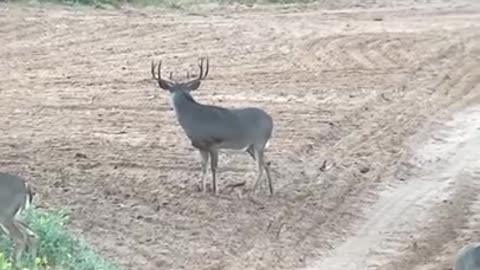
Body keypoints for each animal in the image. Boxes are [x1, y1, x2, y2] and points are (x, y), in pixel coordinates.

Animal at [150, 57, 274, 196]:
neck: (193, 118)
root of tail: (271, 120)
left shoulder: (214, 144)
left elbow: (214, 167)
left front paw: (215, 191)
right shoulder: (201, 147)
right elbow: (203, 167)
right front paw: (202, 189)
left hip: (259, 142)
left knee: (260, 166)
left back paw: (252, 191)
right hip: (250, 147)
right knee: (267, 164)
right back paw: (270, 190)